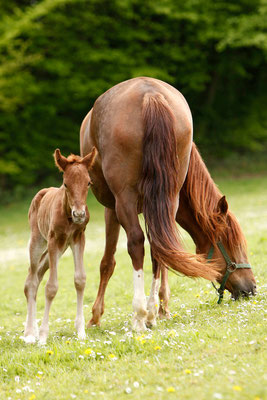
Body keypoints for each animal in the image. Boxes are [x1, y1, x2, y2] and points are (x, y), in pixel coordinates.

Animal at [23, 147, 96, 344]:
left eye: (88, 183)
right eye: (65, 184)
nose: (79, 214)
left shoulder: (78, 238)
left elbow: (80, 279)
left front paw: (81, 331)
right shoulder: (54, 240)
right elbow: (51, 287)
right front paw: (42, 337)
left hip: (57, 249)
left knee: (36, 276)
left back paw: (30, 331)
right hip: (38, 242)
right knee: (31, 280)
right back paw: (30, 333)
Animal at [80, 76, 222, 332]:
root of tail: (150, 94)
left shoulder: (112, 208)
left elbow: (107, 262)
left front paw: (95, 316)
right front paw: (162, 307)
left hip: (125, 200)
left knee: (137, 243)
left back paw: (139, 314)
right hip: (167, 196)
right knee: (158, 245)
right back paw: (151, 313)